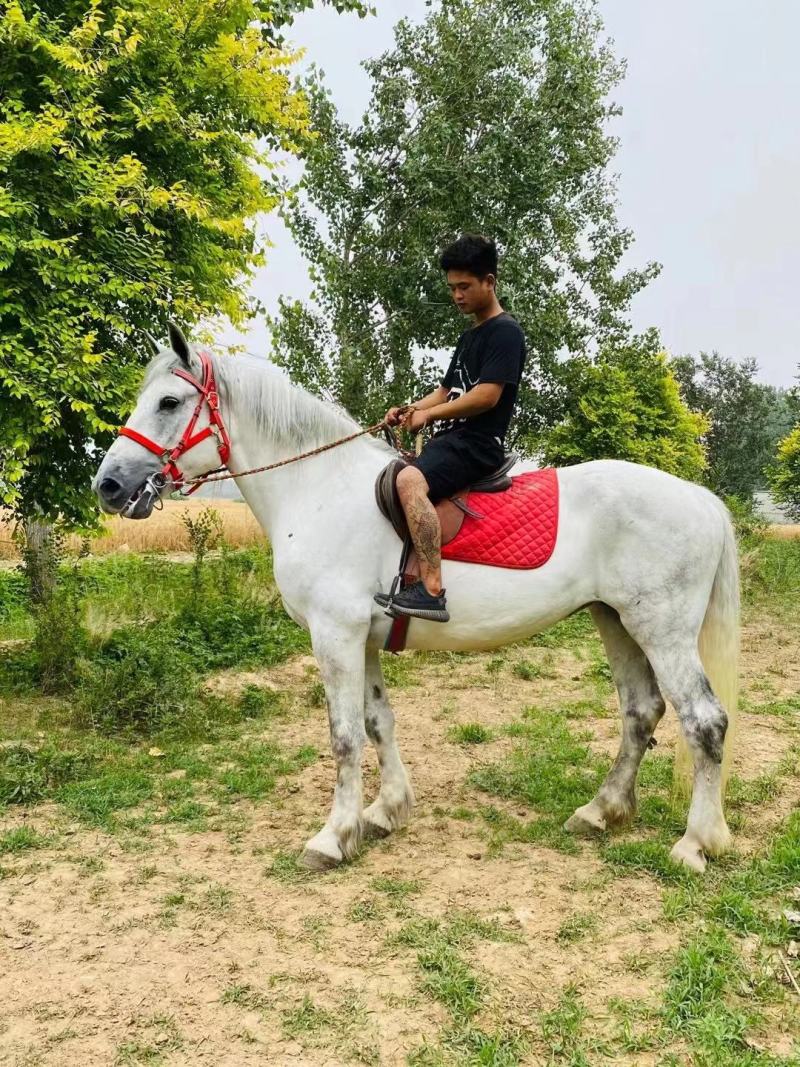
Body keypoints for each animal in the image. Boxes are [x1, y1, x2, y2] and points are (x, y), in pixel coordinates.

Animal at [93, 323, 739, 875]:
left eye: (168, 403)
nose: (109, 485)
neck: (319, 490)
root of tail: (700, 499)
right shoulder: (362, 639)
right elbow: (378, 722)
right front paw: (384, 812)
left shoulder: (334, 635)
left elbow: (344, 736)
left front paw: (333, 836)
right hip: (616, 621)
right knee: (641, 712)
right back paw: (601, 811)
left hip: (661, 630)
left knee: (704, 722)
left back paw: (696, 843)